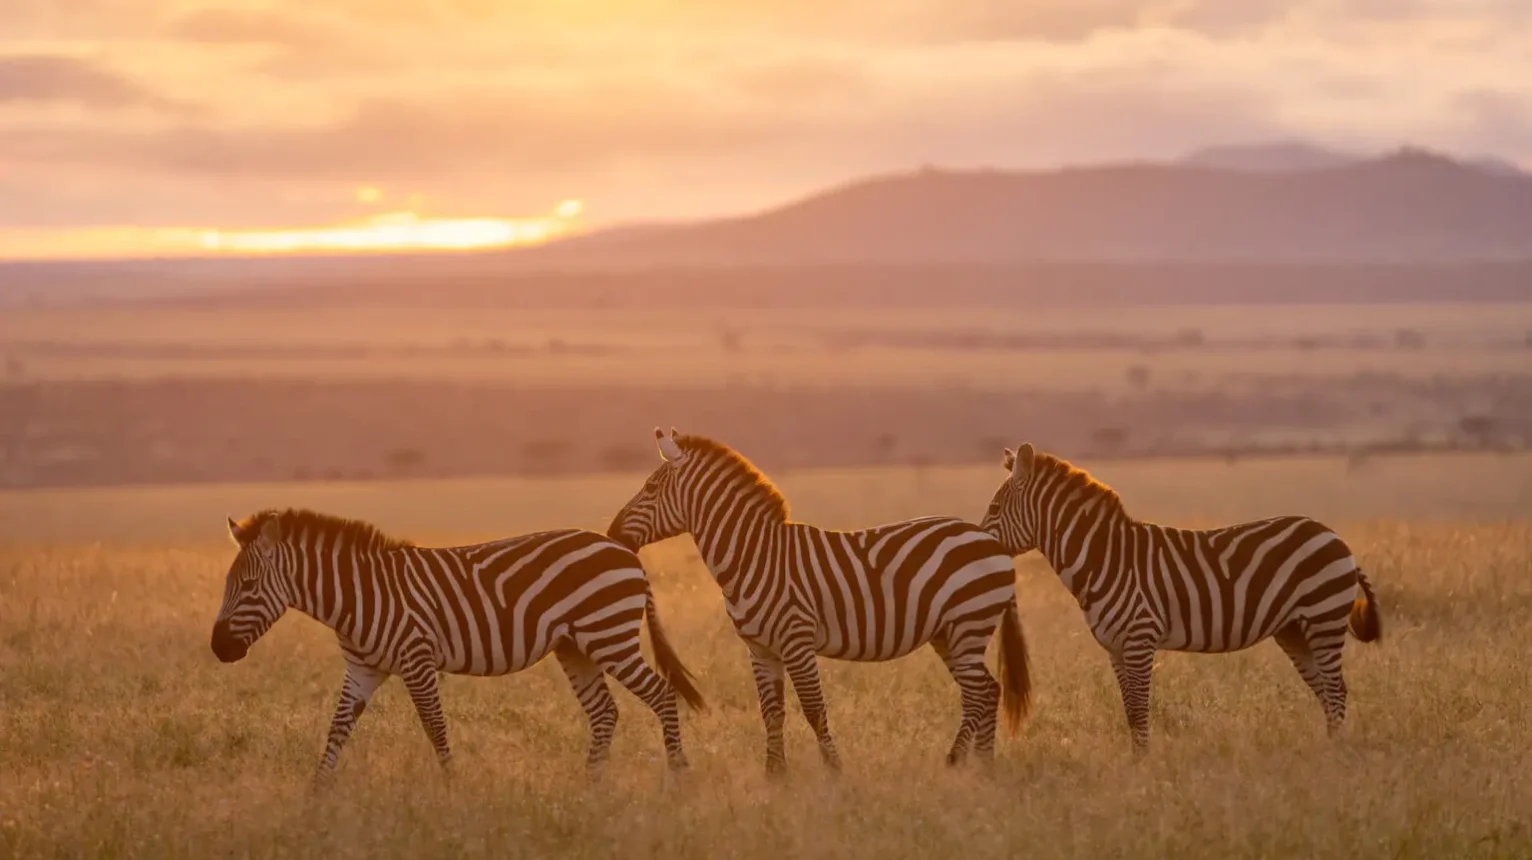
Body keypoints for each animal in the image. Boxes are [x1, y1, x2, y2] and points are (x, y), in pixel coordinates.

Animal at [210, 508, 706, 781]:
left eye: (248, 586)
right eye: (228, 584)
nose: (218, 649)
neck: (357, 596)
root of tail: (627, 553)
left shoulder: (416, 659)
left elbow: (435, 727)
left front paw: (452, 789)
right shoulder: (363, 669)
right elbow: (337, 730)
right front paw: (316, 796)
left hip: (610, 638)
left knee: (662, 694)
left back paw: (679, 778)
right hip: (576, 648)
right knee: (605, 713)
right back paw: (590, 788)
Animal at [607, 428, 1031, 774]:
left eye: (650, 488)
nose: (612, 532)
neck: (754, 557)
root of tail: (990, 540)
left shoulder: (796, 640)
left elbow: (813, 709)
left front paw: (833, 770)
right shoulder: (760, 649)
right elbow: (771, 712)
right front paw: (775, 774)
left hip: (968, 624)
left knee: (980, 693)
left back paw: (957, 761)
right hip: (949, 634)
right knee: (987, 691)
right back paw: (981, 765)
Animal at [978, 443, 1382, 751]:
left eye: (994, 509)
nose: (979, 545)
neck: (1104, 558)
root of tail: (1335, 537)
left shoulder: (1140, 639)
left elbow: (1140, 710)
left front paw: (1143, 765)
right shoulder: (1115, 648)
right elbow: (1130, 711)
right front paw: (1137, 763)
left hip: (1323, 617)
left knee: (1336, 689)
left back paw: (1337, 753)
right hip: (1294, 630)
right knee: (1325, 691)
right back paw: (1329, 748)